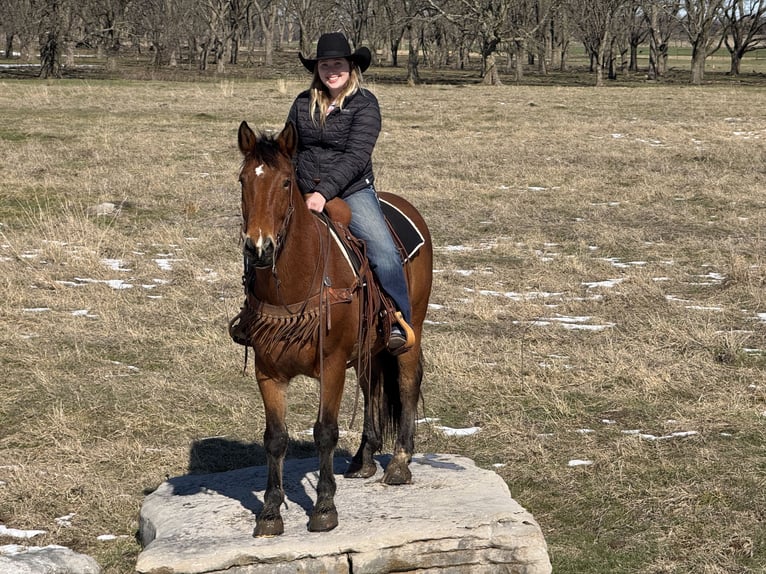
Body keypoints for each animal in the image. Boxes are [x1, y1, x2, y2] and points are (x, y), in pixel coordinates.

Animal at [237, 122, 436, 540]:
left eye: (285, 182)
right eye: (243, 180)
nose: (259, 248)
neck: (294, 285)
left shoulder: (330, 366)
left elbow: (325, 432)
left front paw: (324, 507)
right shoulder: (267, 372)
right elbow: (274, 438)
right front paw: (270, 512)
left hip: (411, 331)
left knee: (407, 382)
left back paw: (399, 462)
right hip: (367, 348)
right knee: (371, 385)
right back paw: (364, 458)